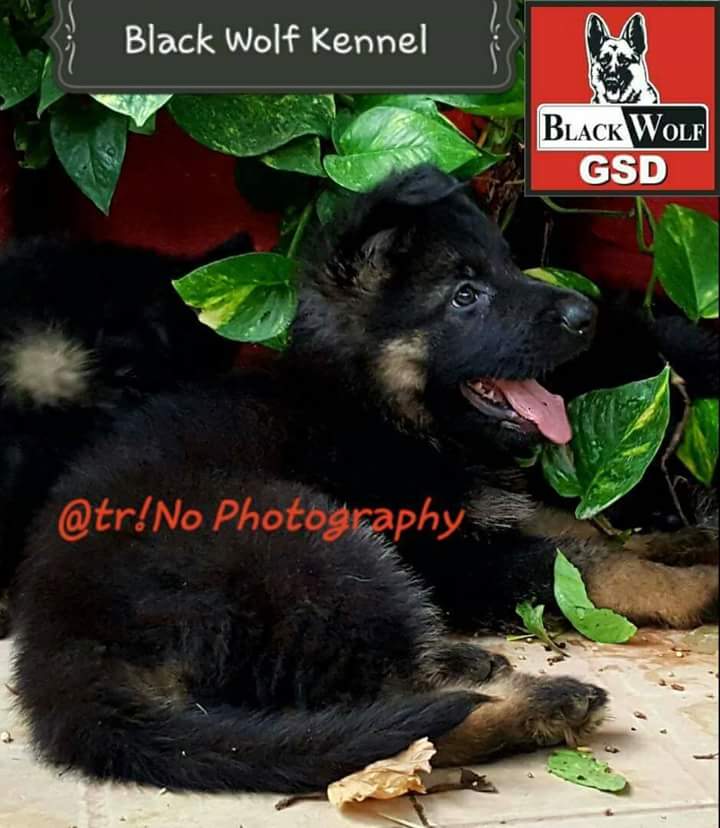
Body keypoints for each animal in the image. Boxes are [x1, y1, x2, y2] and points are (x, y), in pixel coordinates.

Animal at [11, 166, 717, 793]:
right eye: (465, 295)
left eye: (512, 267)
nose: (586, 314)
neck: (379, 408)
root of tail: (63, 645)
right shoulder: (452, 557)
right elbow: (586, 562)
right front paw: (694, 586)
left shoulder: (485, 513)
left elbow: (587, 527)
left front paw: (686, 541)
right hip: (316, 541)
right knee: (407, 726)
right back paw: (542, 703)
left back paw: (472, 663)